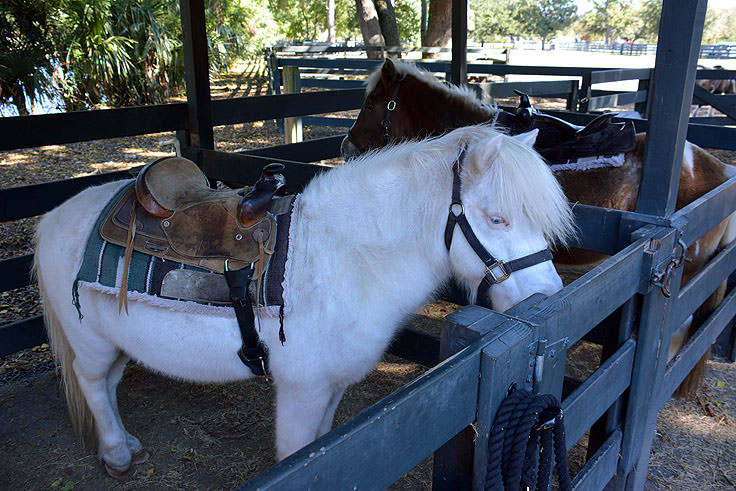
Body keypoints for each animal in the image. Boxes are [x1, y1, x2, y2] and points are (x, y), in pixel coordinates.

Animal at [34, 125, 576, 478]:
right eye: (498, 218)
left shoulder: (331, 390)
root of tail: (56, 215)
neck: (345, 256)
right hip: (90, 342)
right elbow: (294, 454)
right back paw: (116, 455)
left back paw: (127, 444)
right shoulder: (302, 392)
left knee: (108, 382)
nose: (549, 297)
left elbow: (321, 445)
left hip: (118, 341)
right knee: (92, 383)